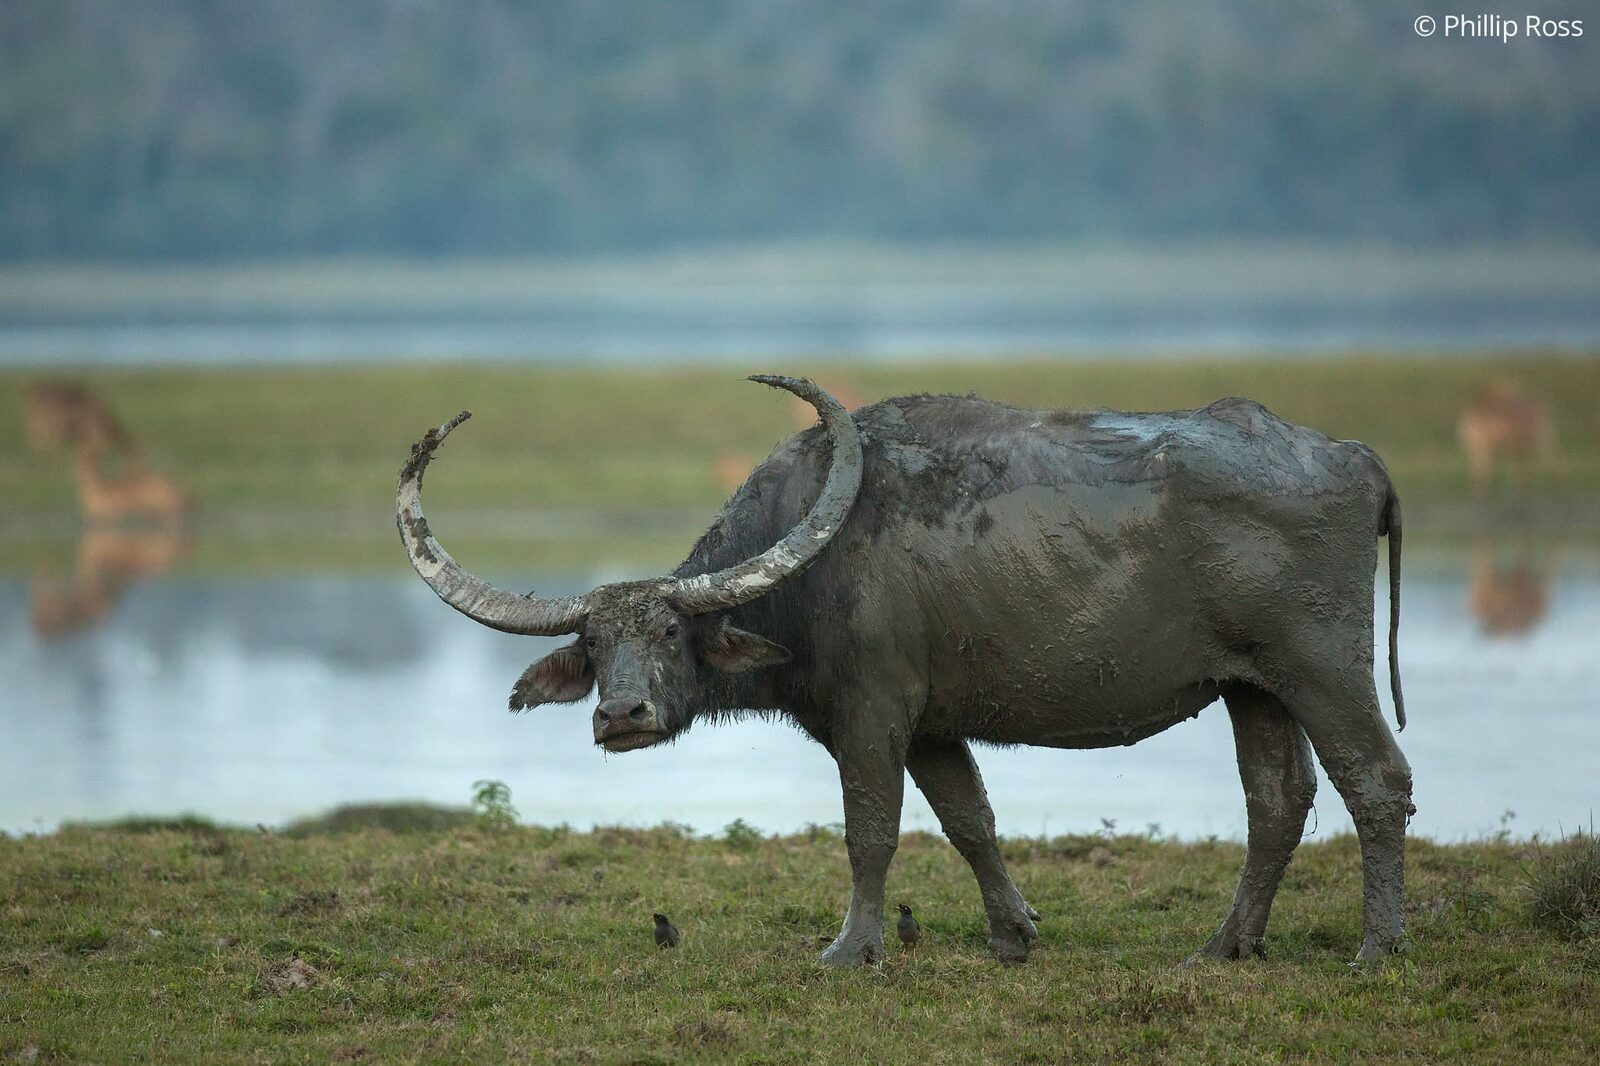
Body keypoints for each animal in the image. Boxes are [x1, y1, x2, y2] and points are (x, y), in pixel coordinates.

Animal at [398, 376, 1412, 966]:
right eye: (596, 645)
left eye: (673, 633)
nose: (623, 716)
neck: (807, 565)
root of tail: (1353, 456)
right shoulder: (933, 729)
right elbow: (970, 821)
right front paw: (1013, 935)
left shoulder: (873, 718)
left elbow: (871, 834)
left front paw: (852, 948)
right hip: (1253, 687)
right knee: (1277, 798)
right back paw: (1226, 946)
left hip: (1323, 665)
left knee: (1375, 779)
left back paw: (1377, 948)